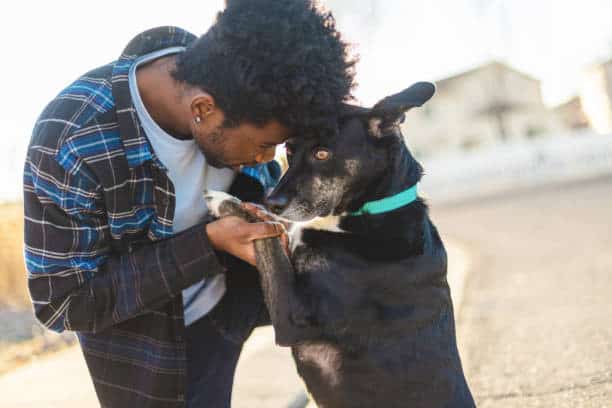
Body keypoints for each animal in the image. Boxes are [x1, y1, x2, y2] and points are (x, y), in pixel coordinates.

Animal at [206, 81, 474, 406]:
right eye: (289, 151)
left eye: (322, 154)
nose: (273, 202)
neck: (370, 212)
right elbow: (276, 230)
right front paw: (246, 206)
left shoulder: (291, 316)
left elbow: (267, 239)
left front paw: (224, 202)